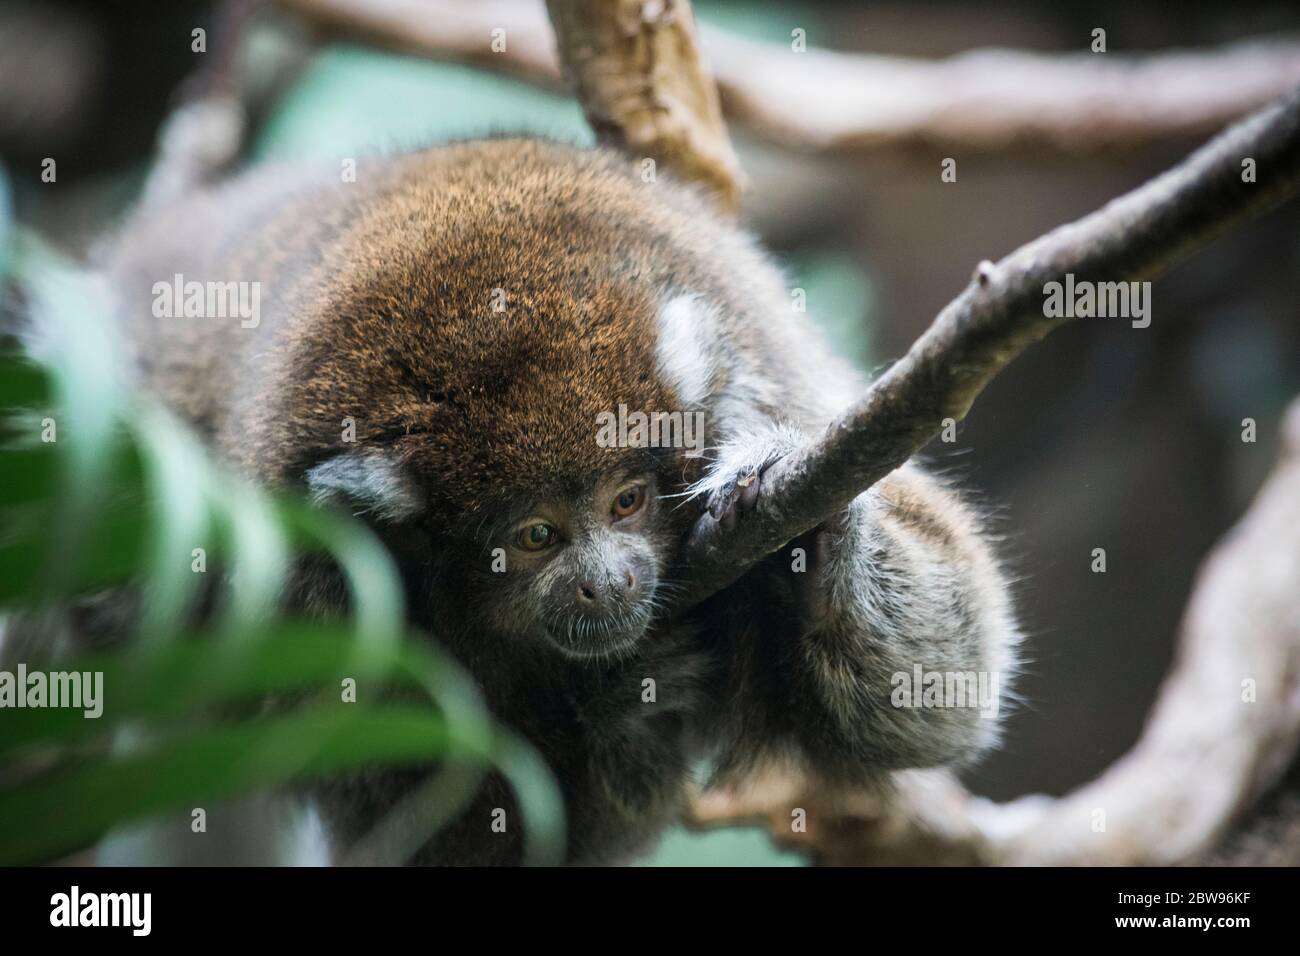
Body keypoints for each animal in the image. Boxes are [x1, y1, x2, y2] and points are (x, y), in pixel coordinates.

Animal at [98, 136, 1013, 868]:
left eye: (628, 501)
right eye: (537, 535)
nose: (606, 582)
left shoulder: (766, 365)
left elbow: (939, 700)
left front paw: (813, 533)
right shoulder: (317, 587)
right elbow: (450, 840)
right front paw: (618, 700)